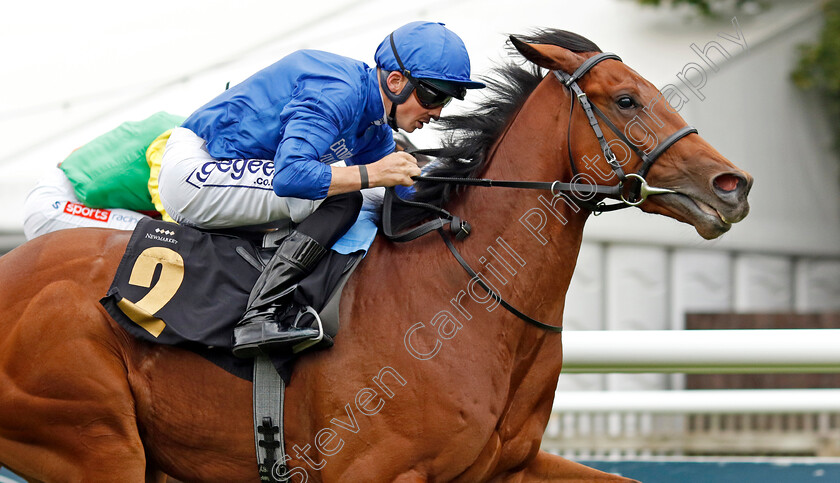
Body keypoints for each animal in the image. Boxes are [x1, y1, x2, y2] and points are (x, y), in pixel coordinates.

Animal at [0, 31, 748, 483]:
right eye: (626, 99)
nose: (732, 184)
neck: (467, 295)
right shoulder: (366, 467)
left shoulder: (508, 464)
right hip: (92, 436)